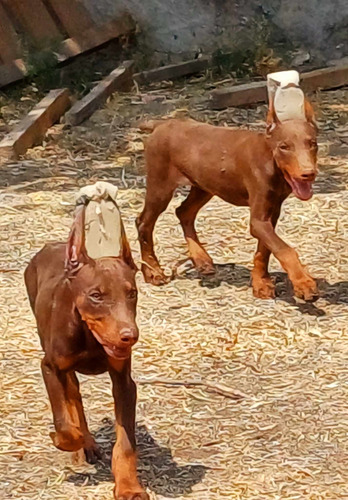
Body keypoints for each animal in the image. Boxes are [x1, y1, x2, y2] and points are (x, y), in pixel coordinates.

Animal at [24, 188, 149, 500]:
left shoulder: (124, 382)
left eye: (132, 293)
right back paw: (84, 444)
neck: (91, 340)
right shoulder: (50, 366)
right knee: (73, 397)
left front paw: (129, 487)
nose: (129, 335)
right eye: (96, 295)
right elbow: (64, 421)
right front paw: (69, 439)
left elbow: (125, 443)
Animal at [135, 99, 318, 298]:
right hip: (160, 186)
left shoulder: (272, 210)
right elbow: (284, 250)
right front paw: (304, 283)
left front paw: (261, 282)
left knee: (184, 211)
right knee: (144, 223)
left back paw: (201, 259)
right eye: (284, 147)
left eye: (312, 143)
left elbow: (264, 250)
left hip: (205, 185)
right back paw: (152, 271)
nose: (308, 173)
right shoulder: (259, 219)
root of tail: (161, 124)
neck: (271, 162)